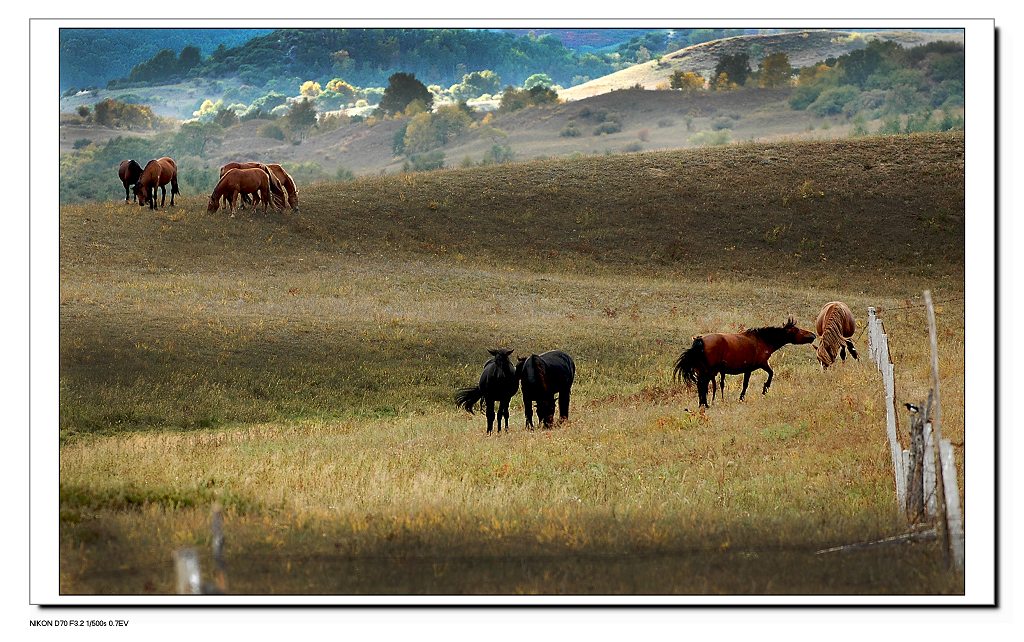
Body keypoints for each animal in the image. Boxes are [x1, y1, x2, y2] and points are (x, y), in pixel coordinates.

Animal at [671, 319, 815, 409]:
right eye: (798, 330)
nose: (813, 335)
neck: (762, 340)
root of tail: (700, 340)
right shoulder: (756, 366)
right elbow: (761, 378)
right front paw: (762, 390)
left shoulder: (757, 366)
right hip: (708, 371)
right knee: (703, 385)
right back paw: (704, 404)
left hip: (703, 370)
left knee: (701, 386)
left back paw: (702, 404)